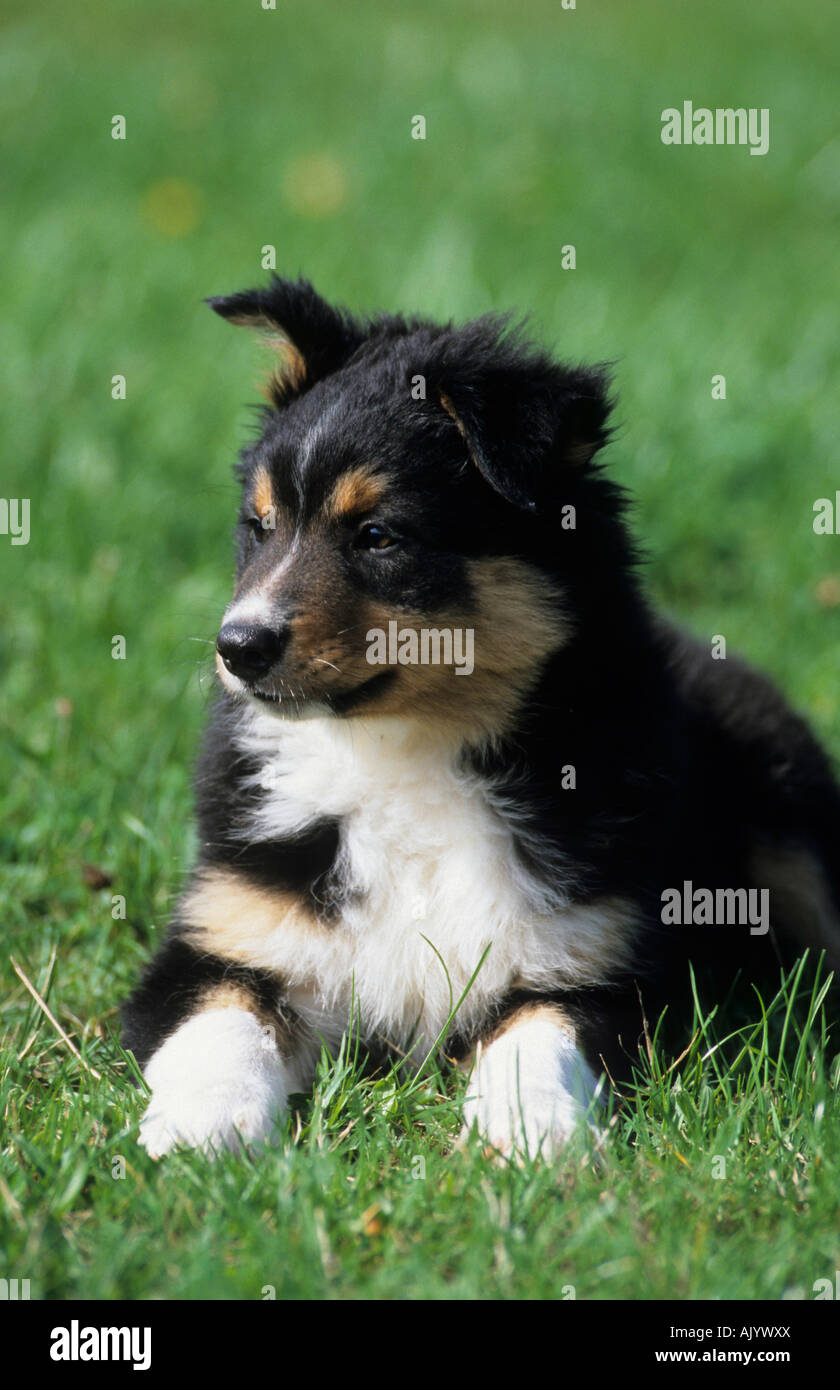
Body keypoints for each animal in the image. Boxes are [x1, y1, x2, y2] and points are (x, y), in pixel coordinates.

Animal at [121, 276, 840, 1156]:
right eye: (259, 528)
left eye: (378, 535)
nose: (237, 646)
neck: (404, 752)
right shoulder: (225, 935)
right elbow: (220, 1024)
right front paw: (205, 1128)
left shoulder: (591, 957)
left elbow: (539, 1036)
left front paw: (530, 1133)